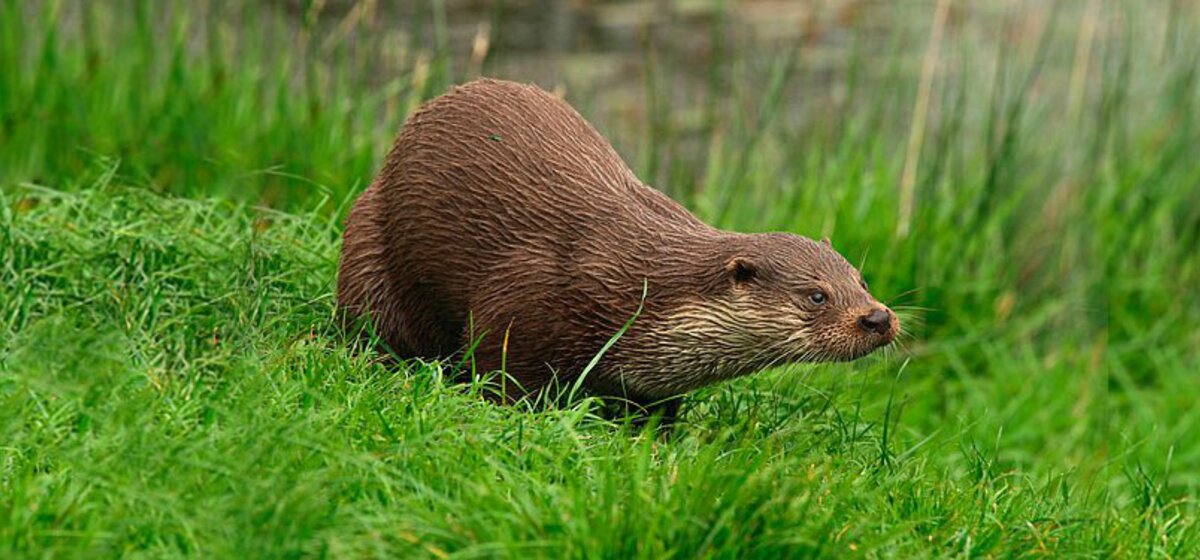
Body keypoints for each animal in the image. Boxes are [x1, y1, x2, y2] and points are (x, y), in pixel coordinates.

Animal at [337, 78, 897, 418]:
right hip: (369, 255)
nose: (878, 317)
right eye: (817, 296)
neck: (636, 293)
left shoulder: (654, 382)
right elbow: (502, 378)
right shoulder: (523, 300)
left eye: (861, 280)